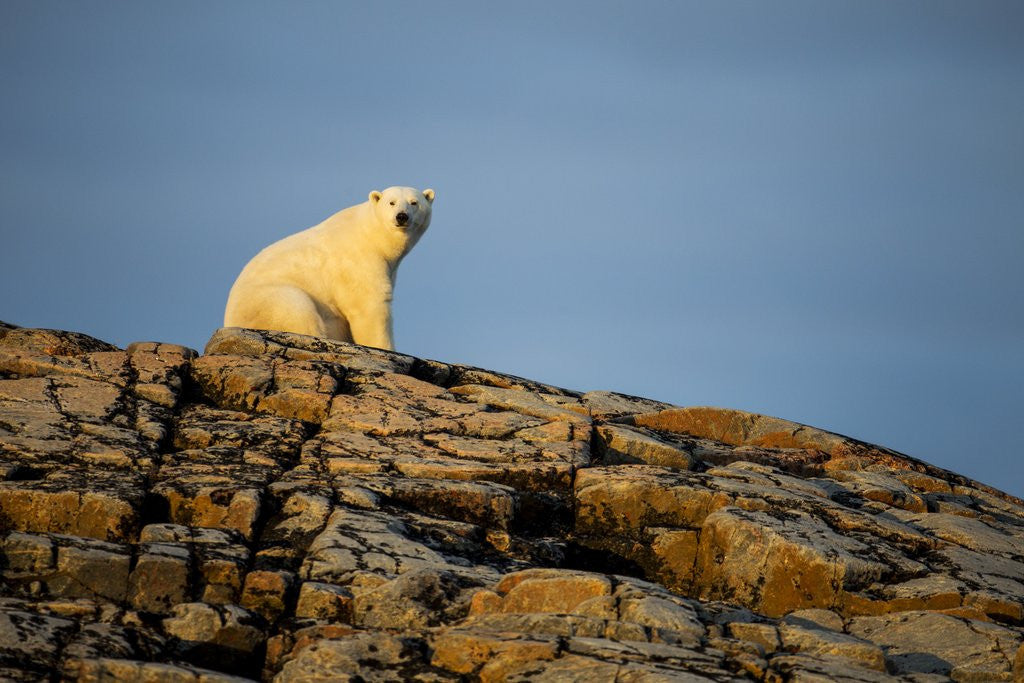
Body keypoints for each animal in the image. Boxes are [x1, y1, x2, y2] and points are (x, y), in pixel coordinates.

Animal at [223, 186, 434, 350]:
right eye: (391, 202)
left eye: (414, 202)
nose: (402, 216)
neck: (372, 235)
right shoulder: (357, 261)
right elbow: (369, 305)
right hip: (267, 300)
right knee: (297, 308)